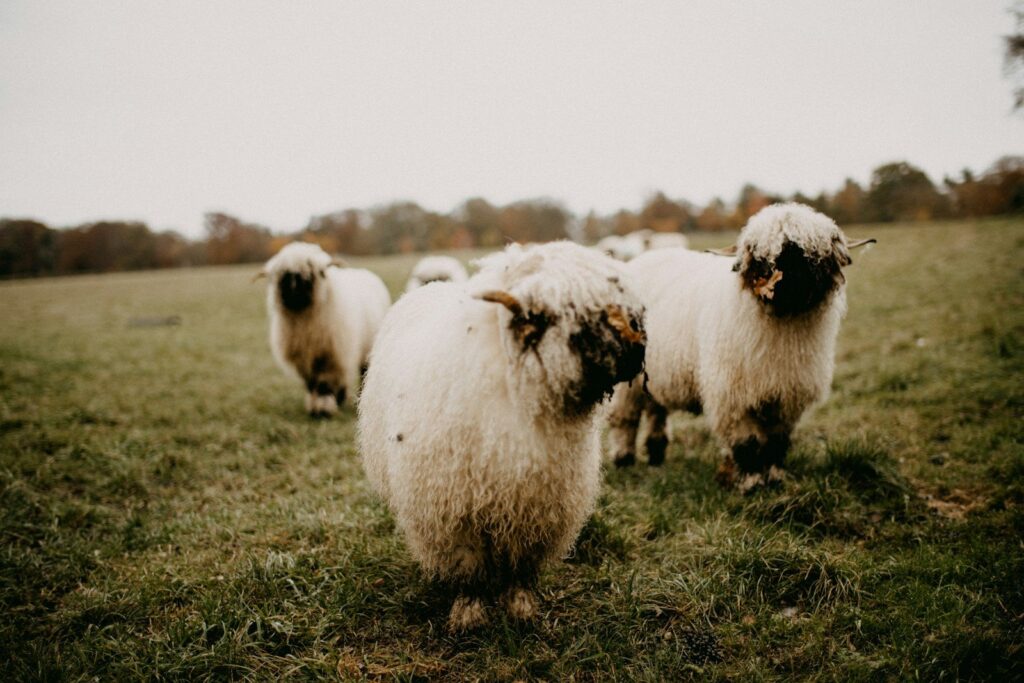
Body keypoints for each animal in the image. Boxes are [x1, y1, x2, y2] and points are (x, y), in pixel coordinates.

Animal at [259, 242, 391, 417]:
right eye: (283, 277)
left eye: (313, 275)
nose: (294, 292)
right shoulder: (305, 360)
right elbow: (311, 383)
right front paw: (314, 406)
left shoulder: (330, 356)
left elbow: (323, 384)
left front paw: (323, 409)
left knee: (362, 372)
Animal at [358, 241, 646, 631]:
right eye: (569, 313)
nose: (639, 345)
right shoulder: (454, 514)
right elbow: (468, 569)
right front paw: (469, 615)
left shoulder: (535, 508)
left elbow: (520, 569)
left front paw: (521, 610)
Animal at [606, 203, 874, 491]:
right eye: (757, 254)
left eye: (811, 252)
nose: (784, 276)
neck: (782, 320)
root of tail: (643, 258)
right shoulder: (732, 395)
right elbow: (747, 443)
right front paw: (751, 482)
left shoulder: (786, 395)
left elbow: (776, 442)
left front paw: (774, 478)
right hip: (627, 379)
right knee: (625, 419)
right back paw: (624, 459)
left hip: (657, 373)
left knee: (656, 409)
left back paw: (656, 454)